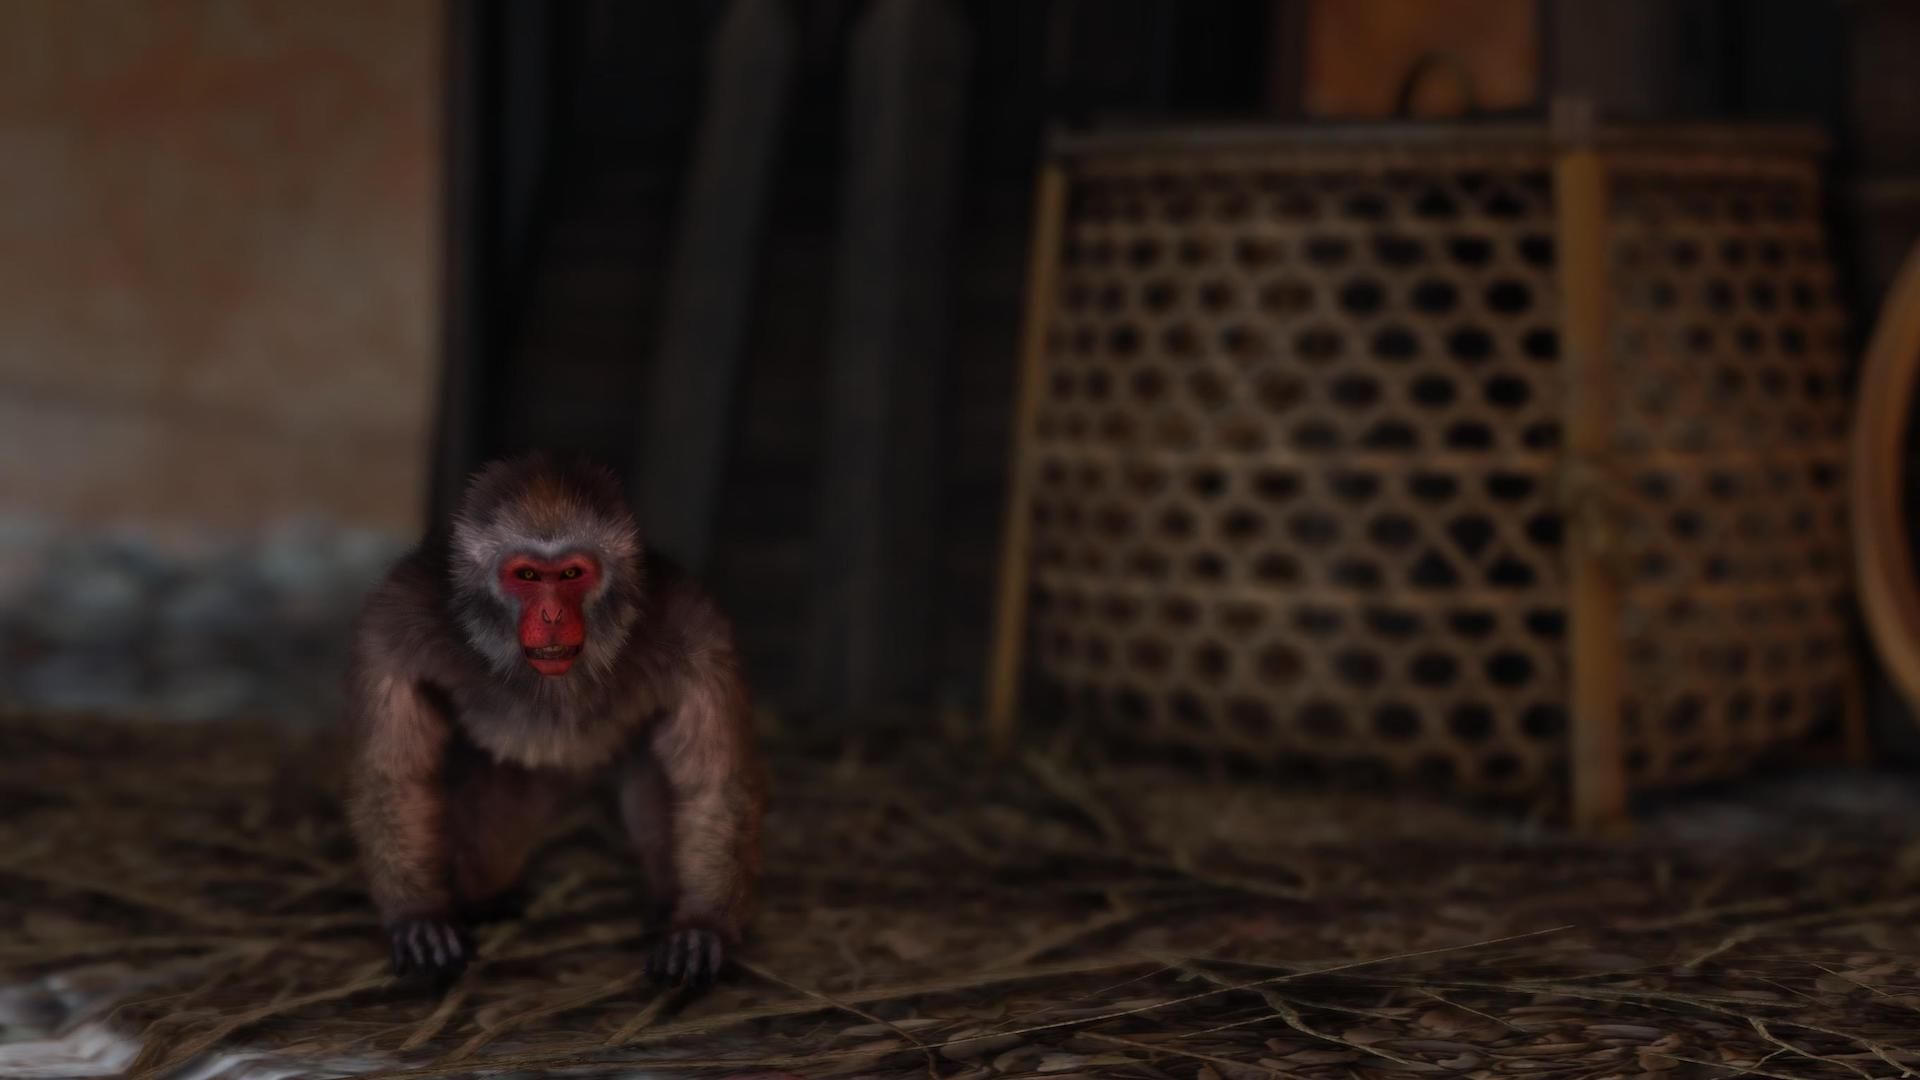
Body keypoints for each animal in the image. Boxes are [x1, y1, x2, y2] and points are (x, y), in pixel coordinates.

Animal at [345, 449, 764, 991]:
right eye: (526, 576)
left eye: (570, 575)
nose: (550, 616)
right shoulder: (396, 623)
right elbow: (396, 775)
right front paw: (419, 914)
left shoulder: (696, 632)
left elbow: (710, 783)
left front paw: (702, 923)